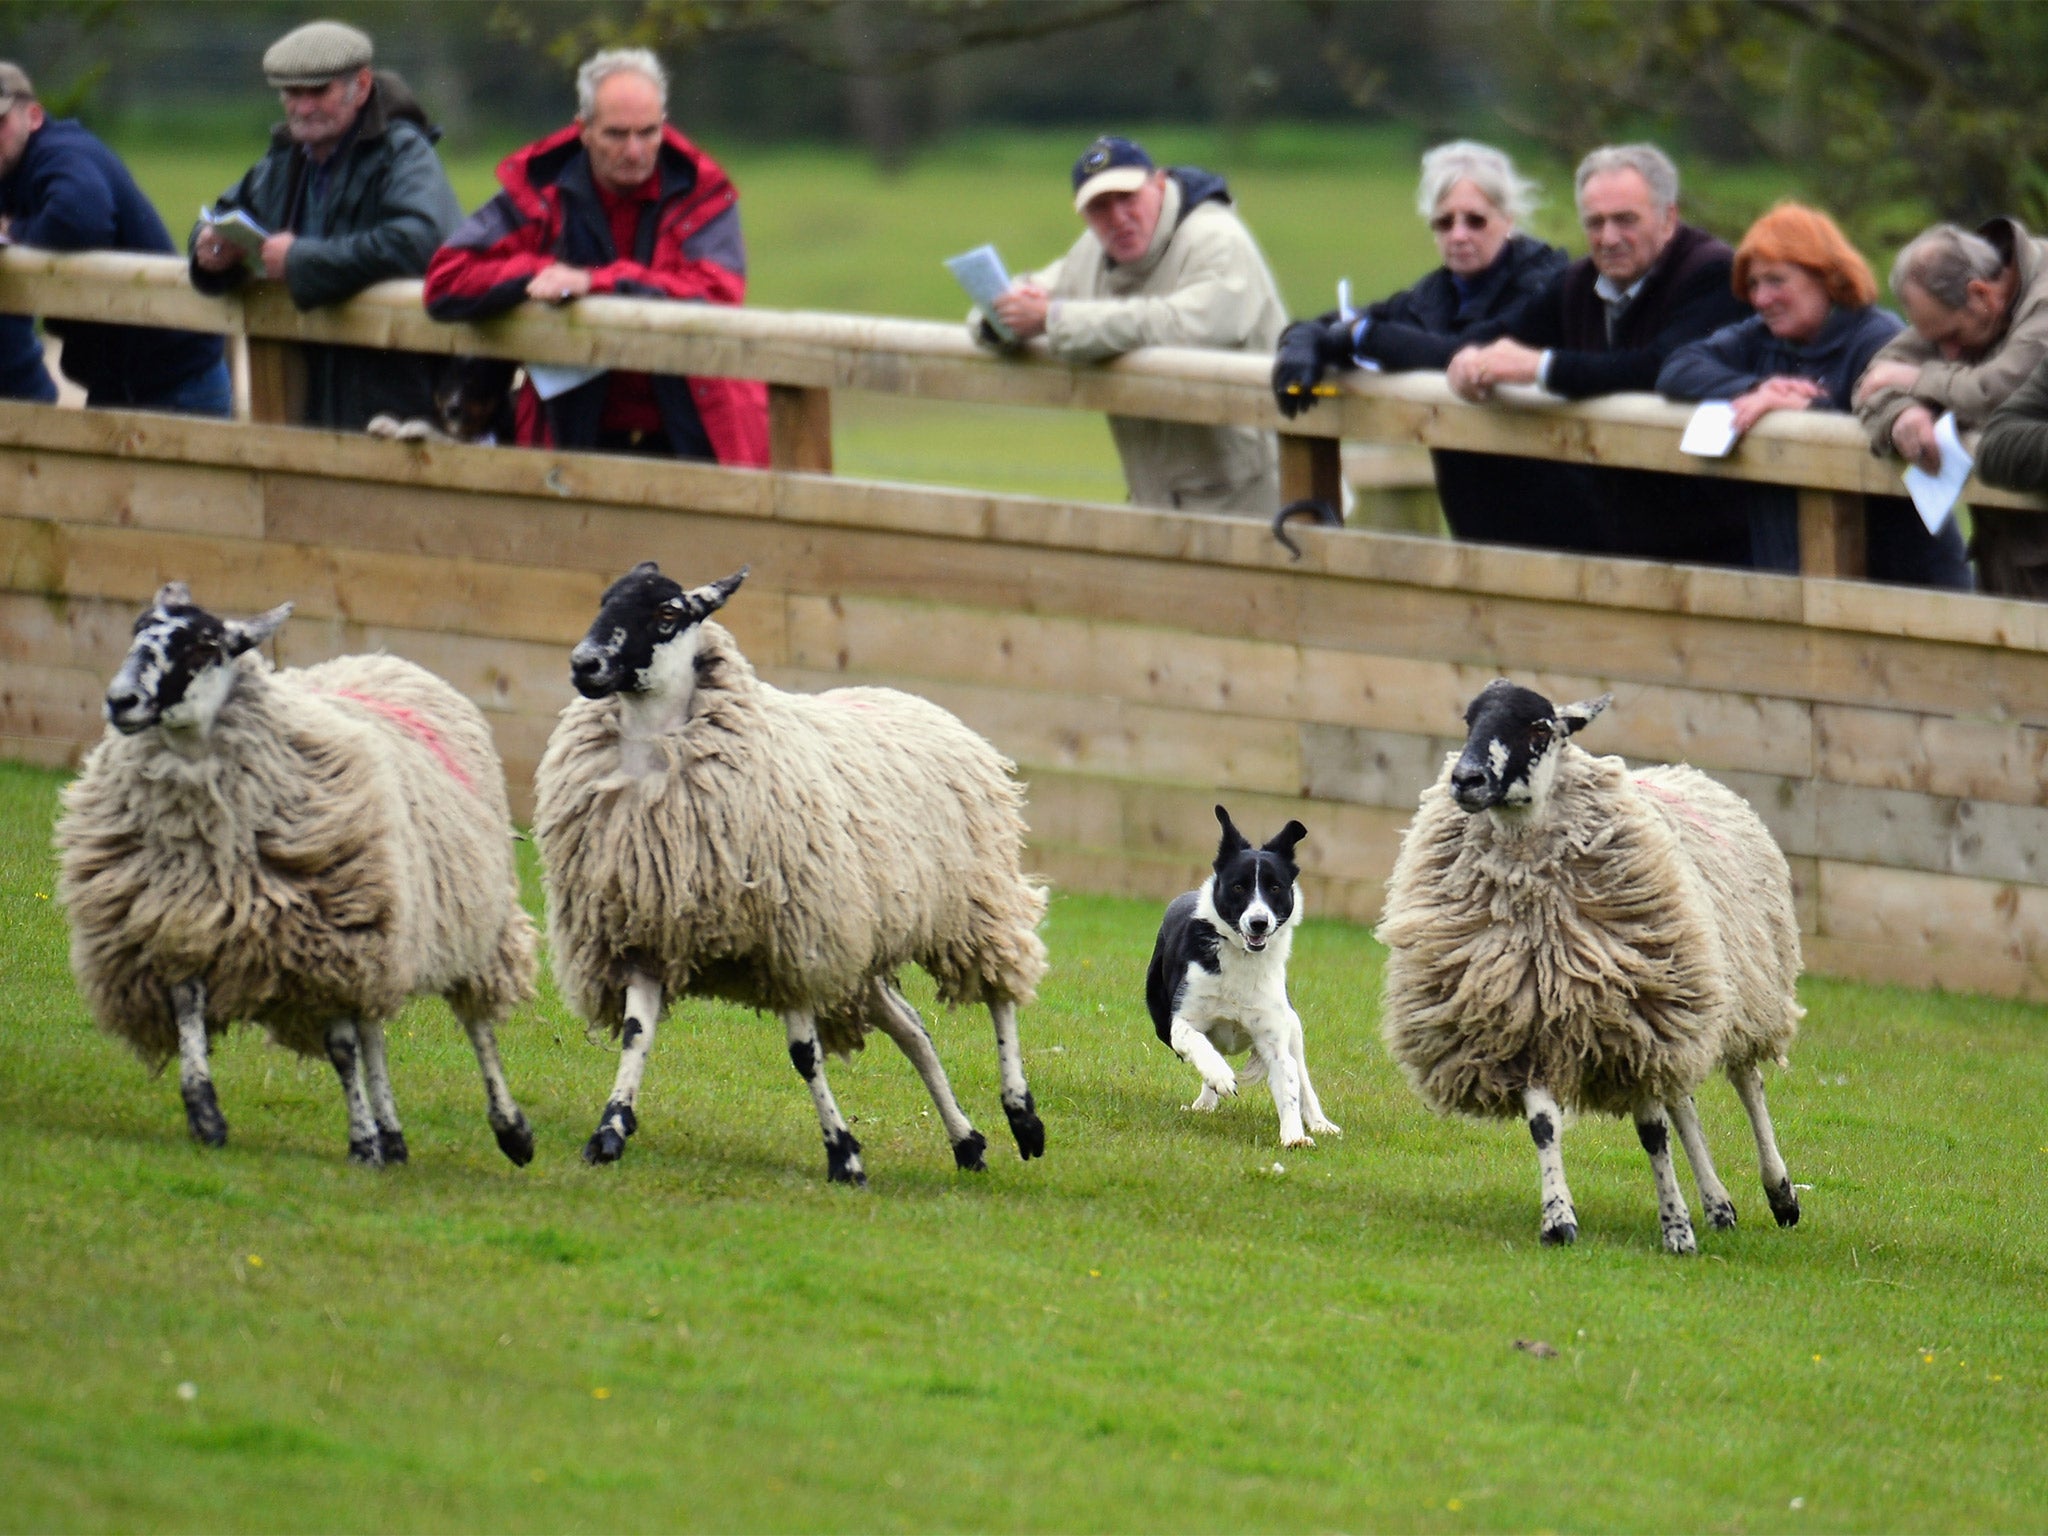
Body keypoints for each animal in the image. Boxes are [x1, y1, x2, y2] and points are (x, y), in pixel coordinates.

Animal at [59, 581, 544, 1171]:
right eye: (135, 632)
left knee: (477, 1028)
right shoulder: (180, 921)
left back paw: (510, 1130)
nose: (120, 701)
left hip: (462, 921)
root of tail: (383, 659)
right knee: (374, 1031)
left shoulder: (325, 942)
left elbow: (341, 1050)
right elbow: (188, 1010)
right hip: (386, 926)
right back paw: (394, 1136)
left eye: (204, 647)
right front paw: (204, 1113)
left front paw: (361, 1143)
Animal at [532, 565, 1056, 1187]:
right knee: (915, 1030)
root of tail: (924, 705)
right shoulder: (645, 932)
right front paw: (609, 1130)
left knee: (1001, 995)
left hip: (973, 905)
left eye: (667, 613)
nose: (584, 665)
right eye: (604, 600)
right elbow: (638, 1033)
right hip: (865, 943)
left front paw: (844, 1155)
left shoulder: (794, 940)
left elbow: (805, 1055)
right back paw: (967, 1141)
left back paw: (1021, 1114)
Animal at [1368, 679, 1802, 1253]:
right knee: (1683, 1097)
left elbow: (1653, 1133)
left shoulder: (1631, 1023)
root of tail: (1688, 771)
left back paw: (1781, 1195)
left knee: (1748, 1083)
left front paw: (1676, 1230)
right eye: (1469, 721)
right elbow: (1544, 1125)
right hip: (1680, 1006)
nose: (1466, 779)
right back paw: (1719, 1205)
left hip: (1743, 993)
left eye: (1539, 728)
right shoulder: (1522, 1021)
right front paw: (1558, 1219)